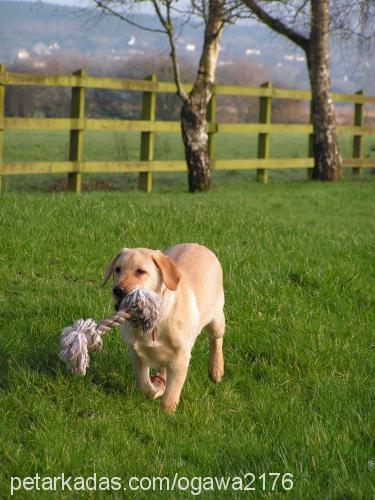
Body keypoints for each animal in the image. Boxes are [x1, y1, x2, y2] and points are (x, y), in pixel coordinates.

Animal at [103, 244, 225, 412]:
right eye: (117, 269)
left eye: (140, 271)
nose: (117, 290)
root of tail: (199, 245)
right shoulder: (135, 353)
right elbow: (143, 383)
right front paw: (154, 391)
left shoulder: (181, 357)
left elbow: (172, 391)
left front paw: (166, 412)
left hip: (216, 317)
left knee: (216, 340)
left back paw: (216, 369)